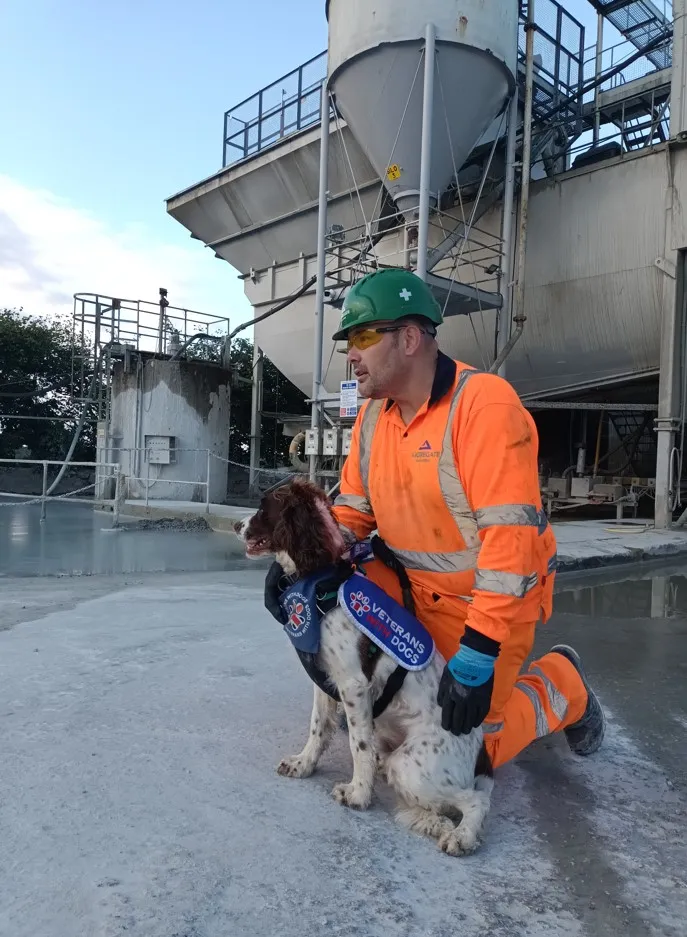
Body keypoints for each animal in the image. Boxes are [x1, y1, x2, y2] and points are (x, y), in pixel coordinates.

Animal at [236, 478, 494, 852]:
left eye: (262, 507)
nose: (235, 525)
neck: (323, 582)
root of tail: (482, 755)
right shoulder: (325, 680)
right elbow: (318, 728)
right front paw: (303, 764)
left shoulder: (354, 686)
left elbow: (358, 746)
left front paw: (358, 793)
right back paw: (433, 822)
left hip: (412, 766)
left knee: (476, 800)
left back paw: (461, 836)